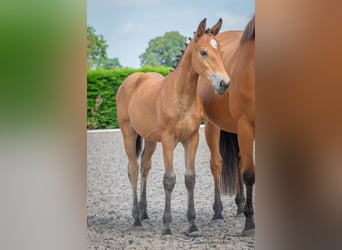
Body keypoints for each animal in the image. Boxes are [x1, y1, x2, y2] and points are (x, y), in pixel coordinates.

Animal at [116, 18, 231, 235]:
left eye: (221, 52)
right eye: (203, 52)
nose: (224, 83)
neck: (181, 96)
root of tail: (132, 79)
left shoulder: (191, 139)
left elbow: (190, 178)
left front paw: (192, 225)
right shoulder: (168, 140)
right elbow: (169, 179)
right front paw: (167, 226)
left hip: (151, 139)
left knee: (145, 167)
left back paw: (144, 213)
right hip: (128, 133)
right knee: (133, 169)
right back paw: (136, 218)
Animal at [198, 15, 254, 236]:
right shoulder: (246, 126)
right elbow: (249, 174)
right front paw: (250, 224)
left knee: (238, 161)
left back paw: (239, 206)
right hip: (213, 126)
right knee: (217, 164)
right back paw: (218, 211)